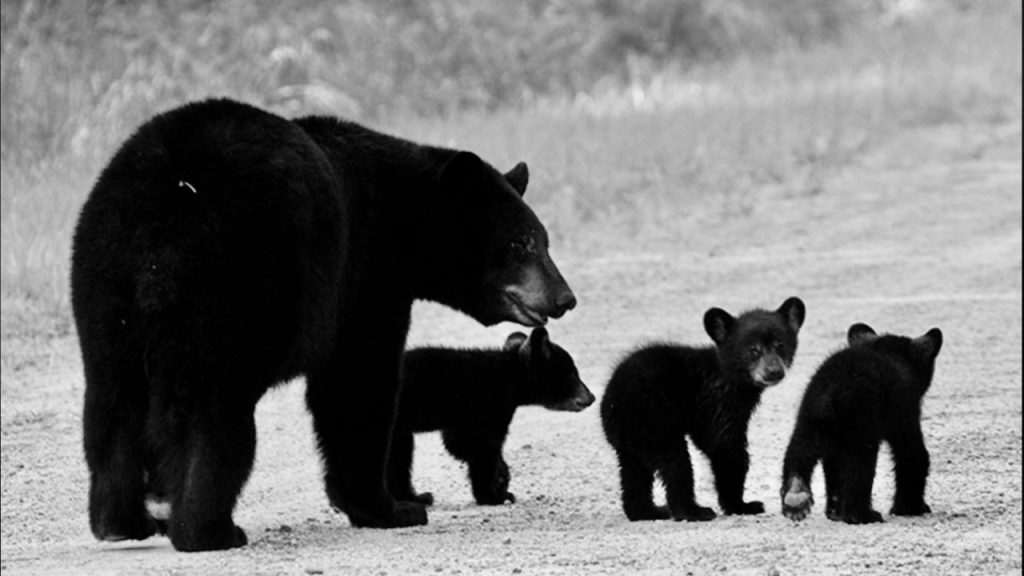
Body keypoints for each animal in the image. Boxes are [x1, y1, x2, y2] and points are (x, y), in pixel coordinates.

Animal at [388, 328, 595, 507]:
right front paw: (495, 495)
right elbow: (482, 445)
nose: (591, 397)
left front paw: (502, 476)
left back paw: (415, 497)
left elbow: (457, 443)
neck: (509, 378)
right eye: (572, 374)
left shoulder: (465, 417)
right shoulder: (489, 405)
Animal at [601, 297, 806, 522]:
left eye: (780, 345)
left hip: (631, 439)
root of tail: (611, 403)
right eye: (753, 350)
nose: (774, 371)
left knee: (634, 472)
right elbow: (725, 447)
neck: (730, 377)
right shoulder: (717, 402)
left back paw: (648, 511)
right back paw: (692, 511)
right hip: (653, 418)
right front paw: (741, 505)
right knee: (675, 462)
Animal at [780, 323, 943, 524]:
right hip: (861, 424)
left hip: (810, 419)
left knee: (799, 451)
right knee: (859, 466)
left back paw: (795, 497)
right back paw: (862, 514)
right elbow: (911, 453)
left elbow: (833, 466)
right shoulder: (904, 409)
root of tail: (831, 392)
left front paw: (834, 511)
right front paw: (911, 508)